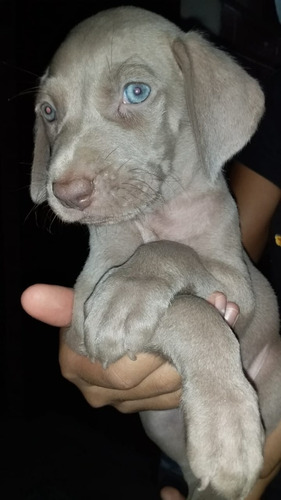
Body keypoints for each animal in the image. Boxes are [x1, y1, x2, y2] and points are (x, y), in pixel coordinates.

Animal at [30, 4, 280, 500]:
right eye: (49, 111)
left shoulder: (240, 288)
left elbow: (177, 260)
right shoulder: (83, 307)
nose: (65, 193)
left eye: (136, 91)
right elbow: (188, 309)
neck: (160, 209)